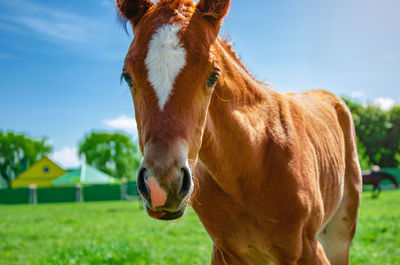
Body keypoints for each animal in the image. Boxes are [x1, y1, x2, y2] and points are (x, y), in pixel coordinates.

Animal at [115, 1, 362, 262]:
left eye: (213, 75)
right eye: (127, 76)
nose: (162, 185)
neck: (252, 161)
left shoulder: (309, 249)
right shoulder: (225, 252)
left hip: (339, 235)